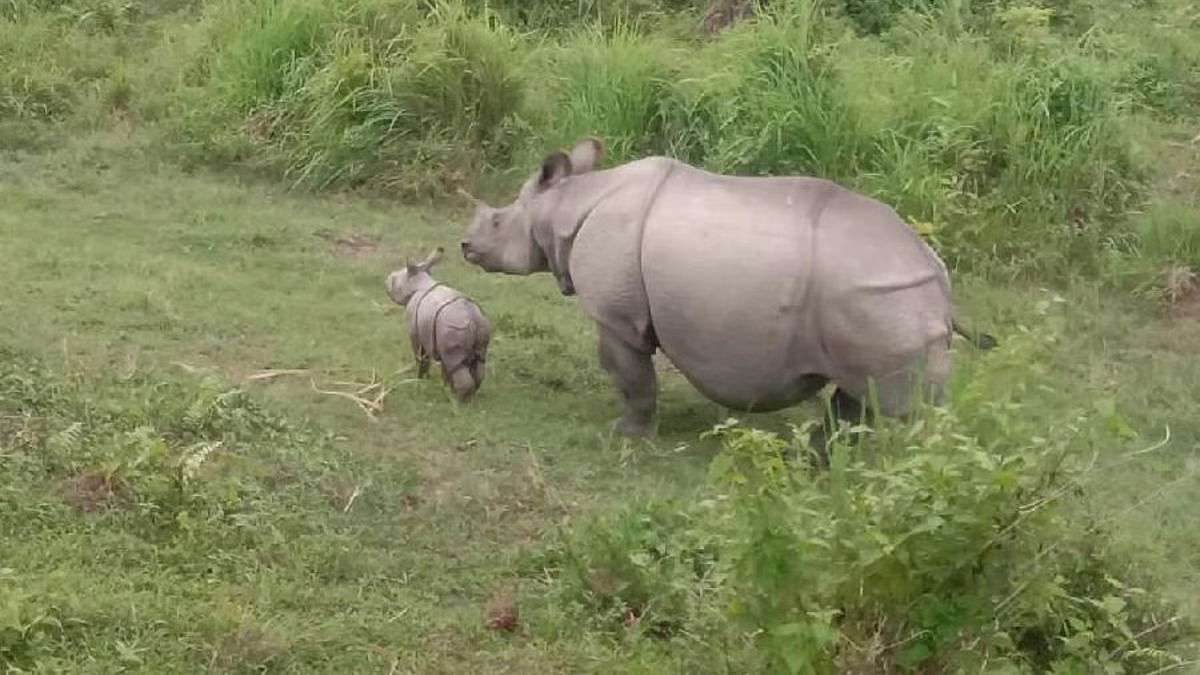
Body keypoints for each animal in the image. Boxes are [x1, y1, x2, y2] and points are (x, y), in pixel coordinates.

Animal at [386, 247, 491, 402]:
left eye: (393, 281)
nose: (386, 280)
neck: (418, 283)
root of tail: (472, 319)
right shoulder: (439, 340)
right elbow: (445, 368)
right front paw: (445, 386)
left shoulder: (415, 332)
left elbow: (420, 357)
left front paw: (420, 379)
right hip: (481, 324)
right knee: (476, 362)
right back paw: (469, 396)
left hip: (455, 327)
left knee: (456, 364)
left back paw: (459, 402)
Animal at [459, 138, 994, 451]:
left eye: (497, 223)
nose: (465, 246)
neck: (566, 205)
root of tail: (939, 282)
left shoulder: (617, 316)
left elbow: (632, 378)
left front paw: (627, 435)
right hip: (884, 301)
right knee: (859, 397)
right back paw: (818, 459)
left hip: (884, 299)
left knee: (906, 412)